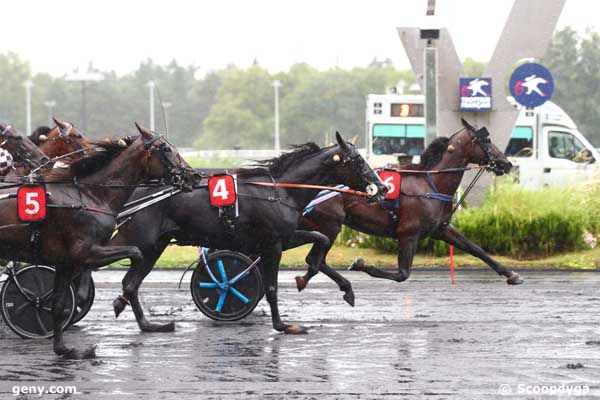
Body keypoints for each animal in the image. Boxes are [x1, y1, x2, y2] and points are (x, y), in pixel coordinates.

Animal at [0, 123, 192, 358]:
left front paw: (64, 349)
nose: (194, 175)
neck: (89, 195)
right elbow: (136, 253)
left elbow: (58, 305)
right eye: (165, 149)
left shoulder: (65, 262)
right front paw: (119, 299)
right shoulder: (85, 252)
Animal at [110, 134, 386, 334]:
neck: (280, 191)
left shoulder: (284, 237)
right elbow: (271, 287)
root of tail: (134, 192)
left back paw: (143, 321)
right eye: (358, 160)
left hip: (155, 245)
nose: (382, 187)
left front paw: (329, 282)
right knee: (125, 277)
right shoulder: (272, 245)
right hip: (143, 243)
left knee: (131, 283)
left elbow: (322, 240)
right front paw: (283, 325)